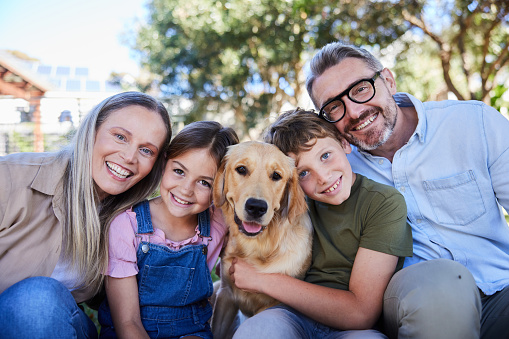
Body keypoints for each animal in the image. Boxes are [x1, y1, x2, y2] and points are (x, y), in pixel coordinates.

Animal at [208, 141, 312, 339]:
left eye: (276, 175)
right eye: (241, 169)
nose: (256, 207)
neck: (256, 247)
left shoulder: (272, 305)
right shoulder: (225, 294)